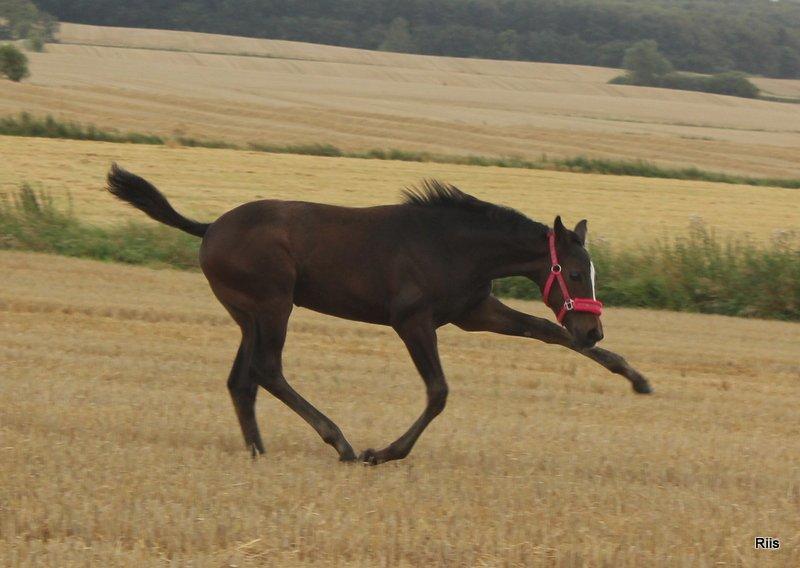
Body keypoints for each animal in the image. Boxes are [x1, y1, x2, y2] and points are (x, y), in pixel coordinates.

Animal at [106, 162, 652, 464]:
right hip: (272, 303)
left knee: (243, 379)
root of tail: (209, 228)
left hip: (247, 312)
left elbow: (544, 331)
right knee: (267, 369)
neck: (454, 246)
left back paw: (259, 451)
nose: (593, 328)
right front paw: (382, 453)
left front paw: (635, 377)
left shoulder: (474, 309)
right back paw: (341, 443)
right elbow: (438, 392)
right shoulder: (412, 320)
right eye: (576, 273)